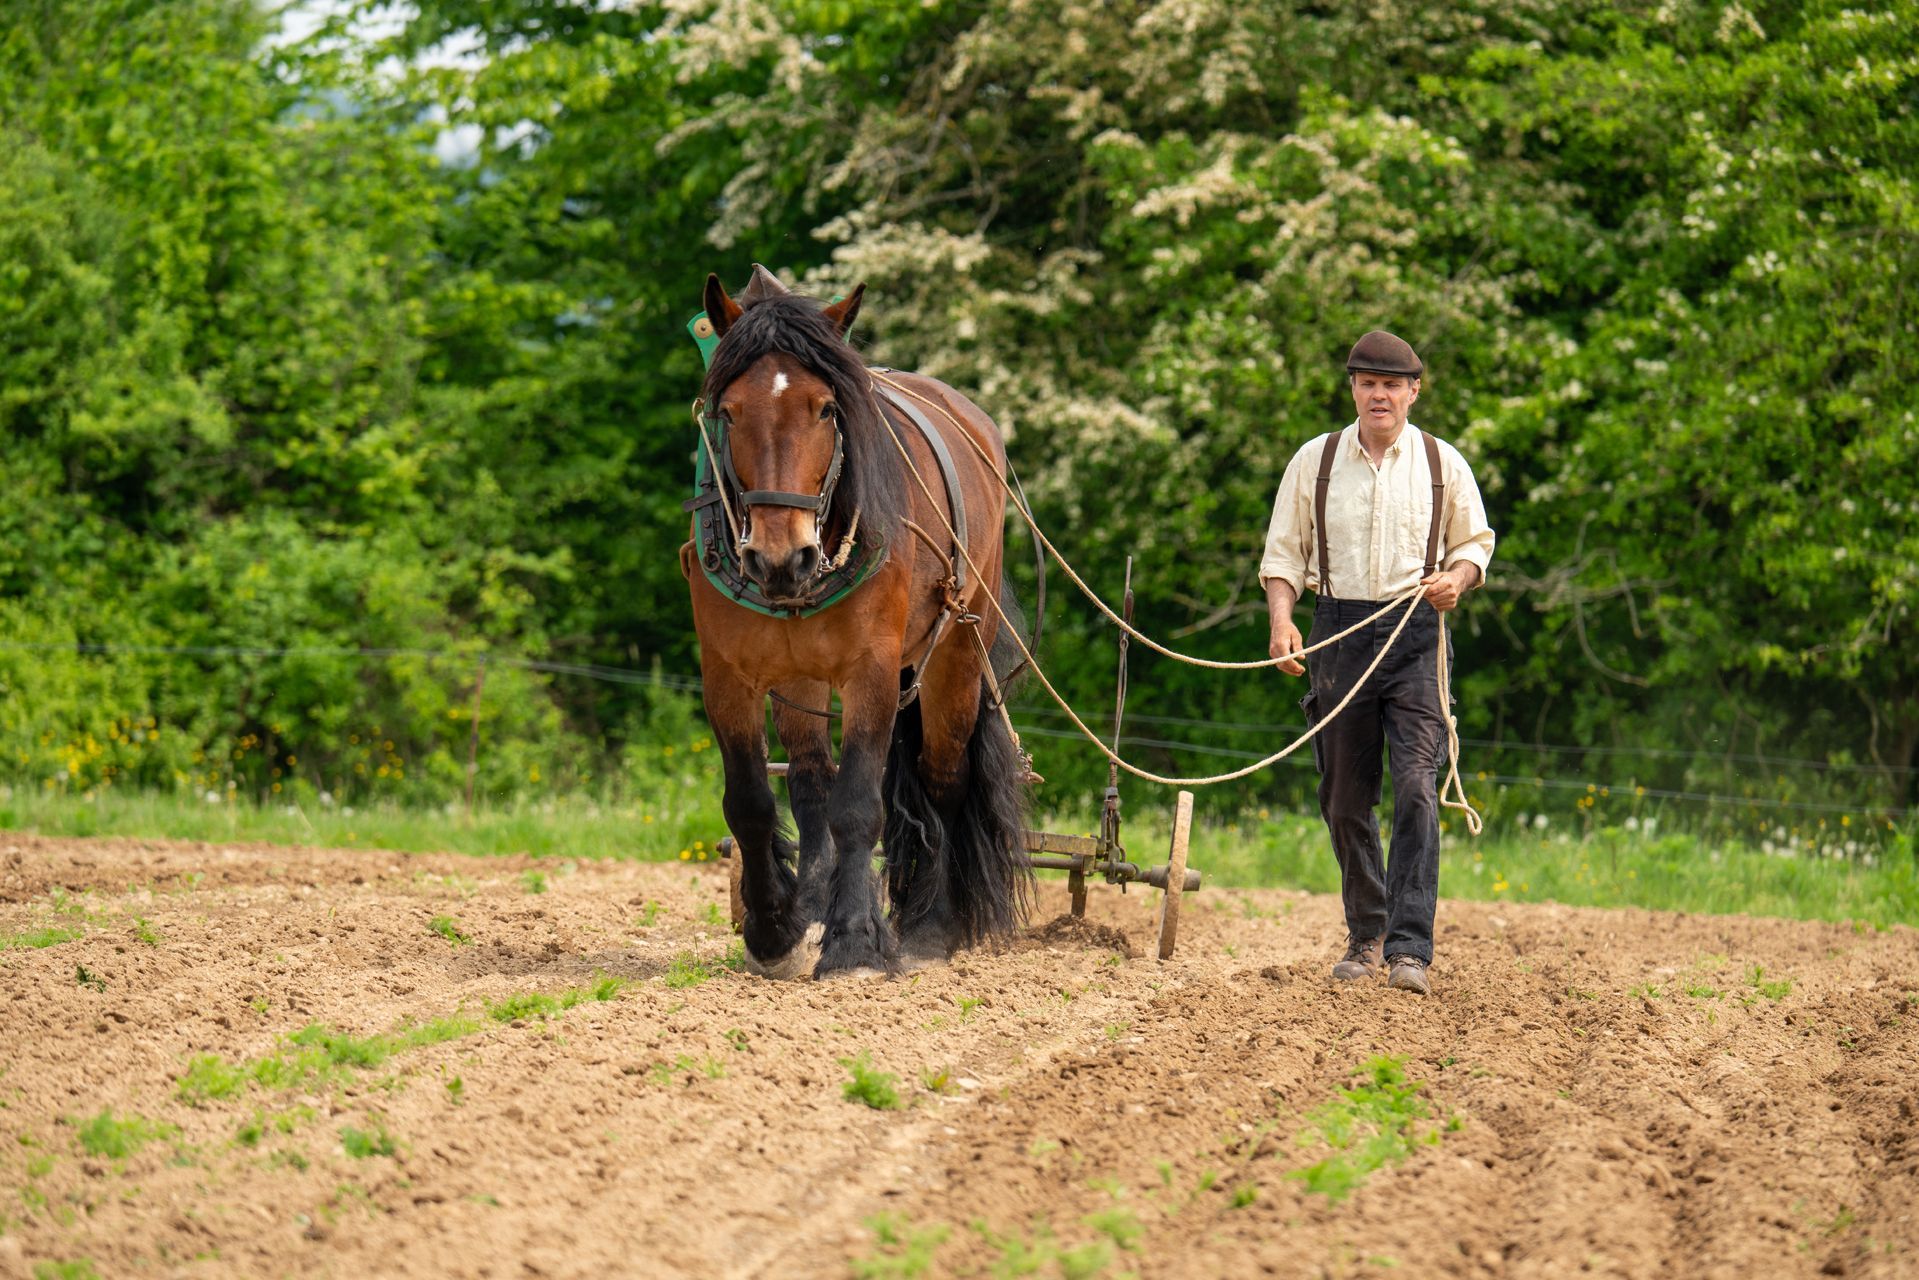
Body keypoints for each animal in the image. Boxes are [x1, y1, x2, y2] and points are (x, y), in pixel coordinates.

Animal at [684, 265, 1031, 978]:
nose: (779, 557)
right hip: (801, 674)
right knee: (811, 781)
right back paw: (816, 903)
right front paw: (774, 931)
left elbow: (858, 805)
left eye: (825, 408)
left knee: (942, 779)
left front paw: (855, 943)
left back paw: (931, 927)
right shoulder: (728, 673)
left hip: (956, 652)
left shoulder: (872, 668)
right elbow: (753, 803)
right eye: (727, 411)